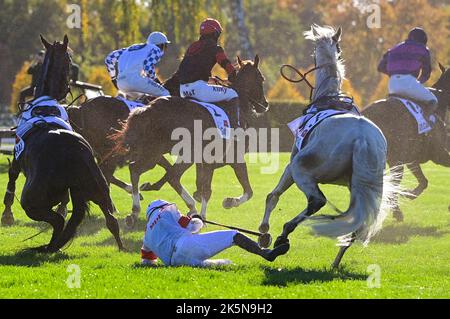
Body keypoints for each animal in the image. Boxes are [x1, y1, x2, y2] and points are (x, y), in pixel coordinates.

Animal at [0, 35, 123, 254]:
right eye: (69, 59)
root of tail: (74, 150)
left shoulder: (16, 157)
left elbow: (11, 179)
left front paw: (6, 215)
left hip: (32, 202)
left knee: (57, 221)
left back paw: (49, 246)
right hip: (98, 189)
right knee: (111, 220)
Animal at [111, 57, 268, 228]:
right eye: (261, 78)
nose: (265, 104)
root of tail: (148, 109)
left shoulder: (205, 161)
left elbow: (204, 186)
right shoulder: (233, 158)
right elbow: (244, 190)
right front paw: (224, 204)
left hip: (160, 152)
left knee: (146, 171)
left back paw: (138, 210)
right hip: (162, 153)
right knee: (160, 174)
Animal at [364, 63, 448, 221]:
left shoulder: (412, 159)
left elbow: (423, 181)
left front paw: (408, 193)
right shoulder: (439, 155)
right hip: (395, 159)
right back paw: (397, 213)